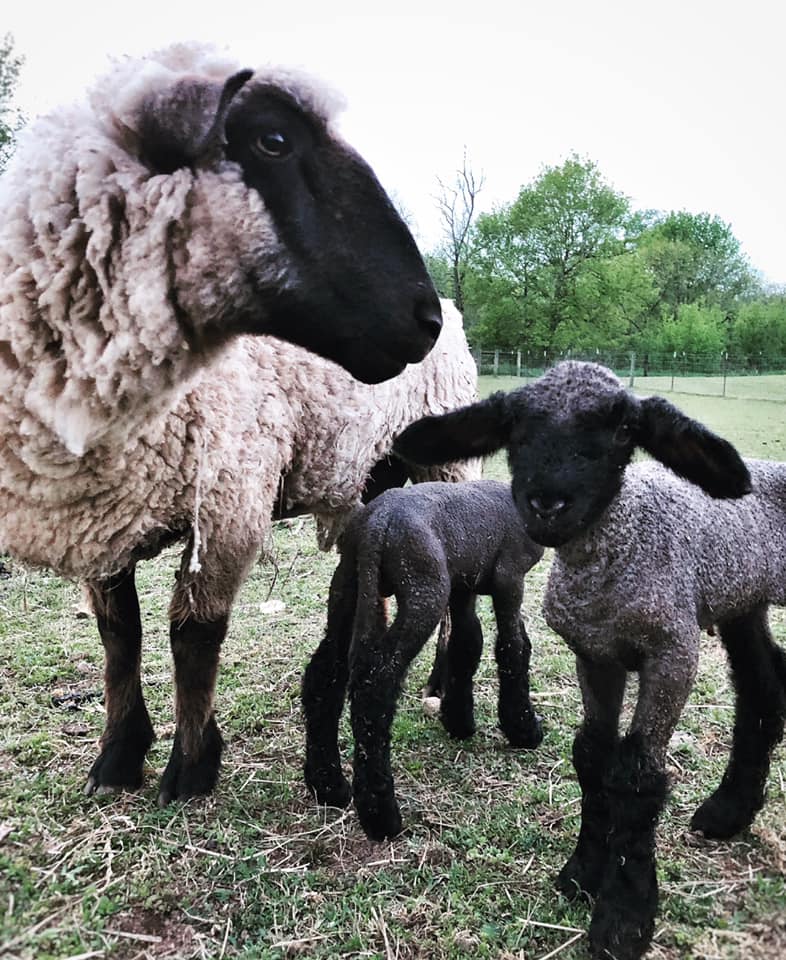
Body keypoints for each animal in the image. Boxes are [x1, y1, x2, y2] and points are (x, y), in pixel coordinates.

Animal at [0, 42, 446, 804]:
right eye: (273, 140)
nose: (426, 318)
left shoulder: (232, 496)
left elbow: (193, 633)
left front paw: (189, 767)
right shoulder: (102, 518)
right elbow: (119, 635)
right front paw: (117, 757)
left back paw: (444, 684)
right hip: (376, 470)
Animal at [302, 479, 545, 840]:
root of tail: (377, 523)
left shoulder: (463, 582)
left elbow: (466, 644)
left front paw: (459, 722)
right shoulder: (509, 576)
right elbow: (514, 648)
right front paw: (524, 730)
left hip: (348, 584)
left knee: (324, 674)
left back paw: (328, 786)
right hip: (422, 590)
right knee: (376, 686)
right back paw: (381, 816)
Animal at [393, 361, 785, 960]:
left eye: (625, 429)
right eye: (514, 427)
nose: (546, 502)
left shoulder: (672, 653)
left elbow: (638, 773)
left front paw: (624, 917)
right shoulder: (595, 654)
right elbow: (592, 756)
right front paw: (582, 872)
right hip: (744, 599)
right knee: (763, 687)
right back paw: (727, 812)